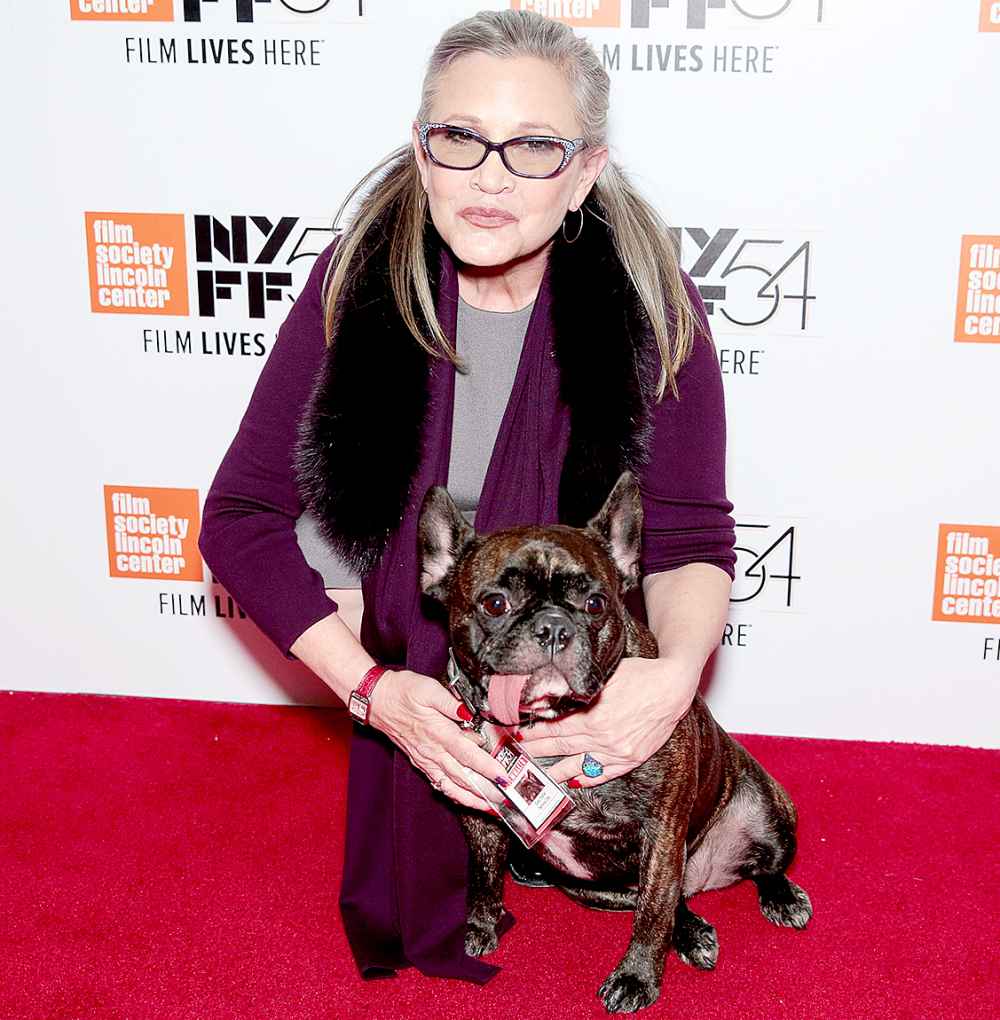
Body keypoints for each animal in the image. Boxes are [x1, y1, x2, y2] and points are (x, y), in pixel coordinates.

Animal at [416, 469, 812, 1011]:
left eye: (596, 603)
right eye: (495, 604)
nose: (554, 627)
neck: (545, 723)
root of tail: (708, 876)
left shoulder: (663, 828)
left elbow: (652, 913)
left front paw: (636, 978)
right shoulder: (477, 814)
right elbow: (483, 872)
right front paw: (479, 924)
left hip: (765, 808)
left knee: (747, 871)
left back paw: (780, 898)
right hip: (589, 886)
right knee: (672, 899)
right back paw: (692, 930)